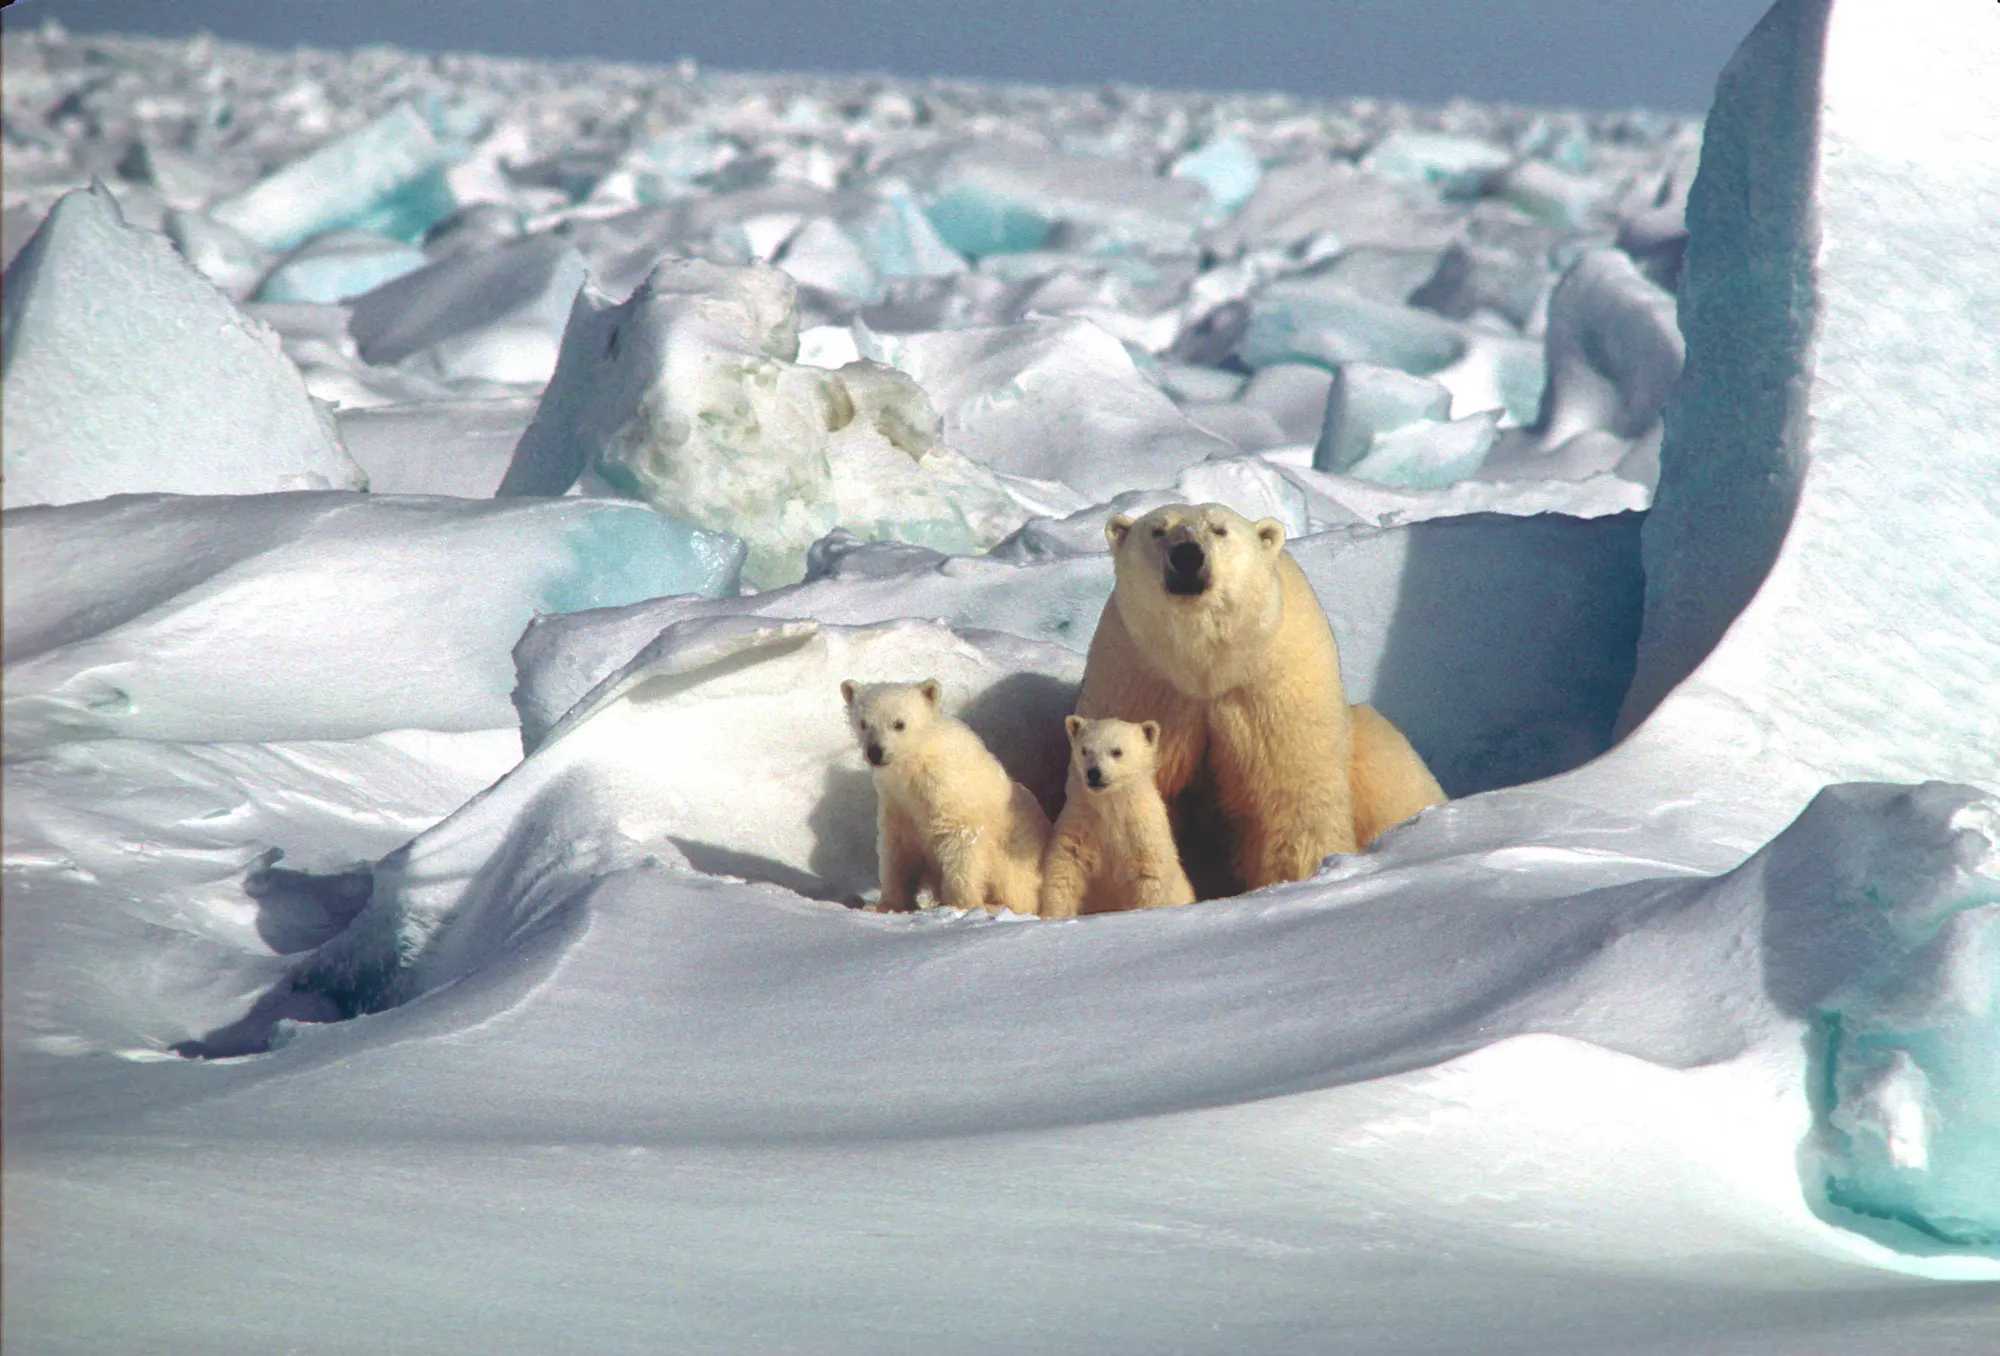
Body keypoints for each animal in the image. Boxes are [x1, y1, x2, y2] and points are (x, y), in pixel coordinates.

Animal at [840, 678, 1051, 916]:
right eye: (864, 723)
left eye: (899, 724)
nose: (875, 752)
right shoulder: (896, 801)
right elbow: (898, 848)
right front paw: (883, 906)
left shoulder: (950, 792)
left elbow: (962, 843)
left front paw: (961, 905)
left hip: (1016, 858)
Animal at [1040, 716, 1196, 919]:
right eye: (1085, 750)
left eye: (1117, 751)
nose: (1094, 773)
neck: (1110, 807)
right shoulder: (1079, 825)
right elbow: (1064, 867)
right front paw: (1054, 914)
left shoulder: (1142, 834)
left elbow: (1150, 876)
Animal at [1073, 502, 1444, 894]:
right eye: (1158, 530)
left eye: (1219, 529)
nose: (1187, 555)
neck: (1206, 667)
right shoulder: (1143, 683)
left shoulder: (1271, 690)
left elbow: (1290, 797)